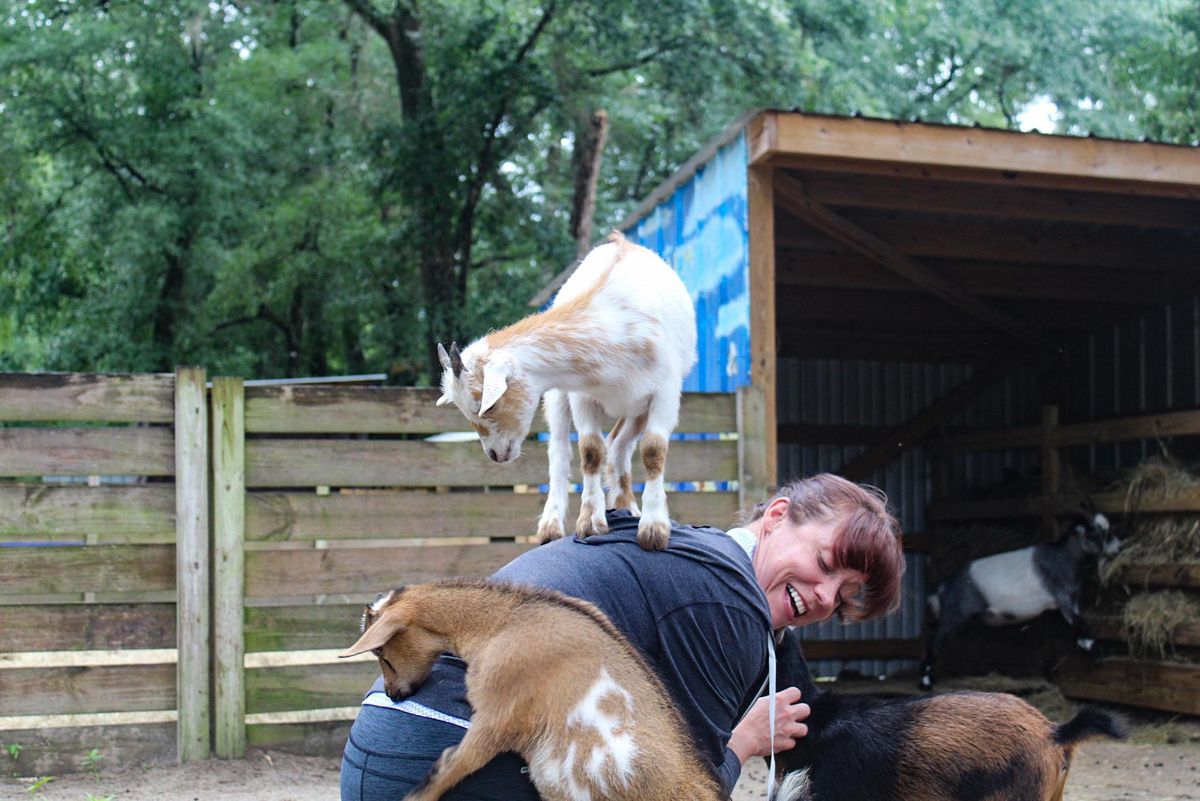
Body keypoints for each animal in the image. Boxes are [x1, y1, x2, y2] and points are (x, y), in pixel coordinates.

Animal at [434, 231, 696, 551]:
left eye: (489, 404)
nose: (495, 454)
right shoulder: (581, 395)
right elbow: (590, 450)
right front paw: (591, 523)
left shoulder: (665, 390)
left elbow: (653, 450)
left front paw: (654, 528)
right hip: (558, 398)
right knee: (561, 450)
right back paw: (551, 525)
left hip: (637, 408)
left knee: (619, 444)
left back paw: (627, 506)